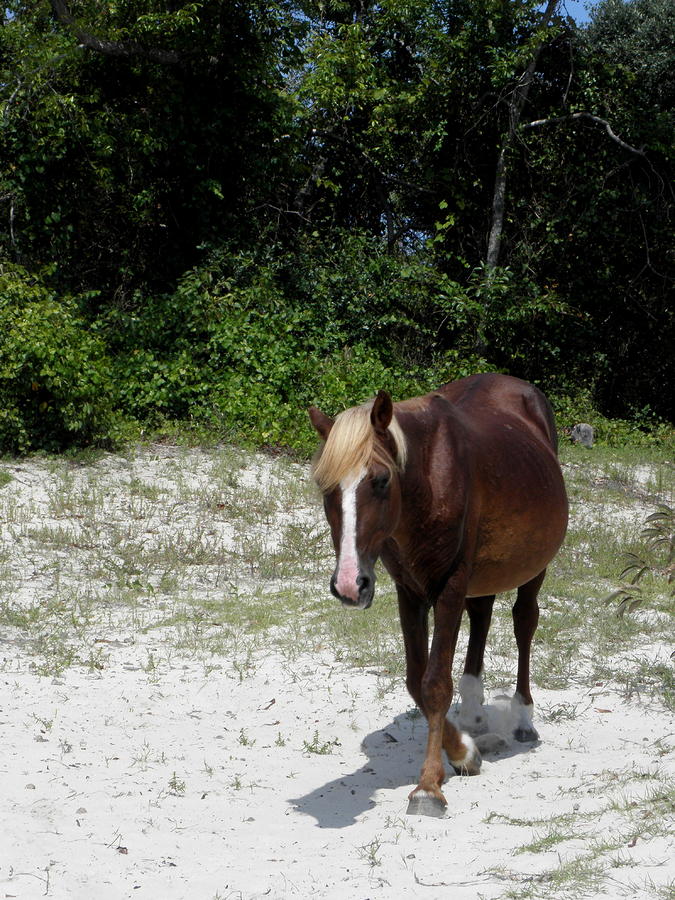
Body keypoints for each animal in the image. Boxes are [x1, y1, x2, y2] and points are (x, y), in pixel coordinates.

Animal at [308, 372, 568, 816]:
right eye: (326, 487)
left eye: (381, 480)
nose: (349, 584)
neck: (429, 480)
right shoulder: (409, 591)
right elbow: (417, 680)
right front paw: (463, 751)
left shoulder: (449, 586)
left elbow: (434, 683)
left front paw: (429, 785)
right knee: (482, 617)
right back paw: (476, 715)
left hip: (534, 568)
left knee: (524, 623)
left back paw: (522, 718)